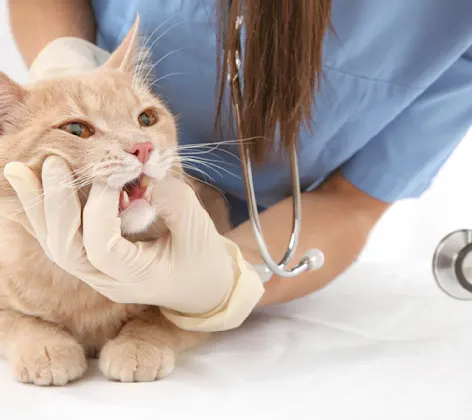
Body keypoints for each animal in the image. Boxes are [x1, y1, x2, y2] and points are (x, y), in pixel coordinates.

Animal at [0, 18, 230, 386]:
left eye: (146, 119)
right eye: (76, 129)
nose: (143, 147)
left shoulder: (202, 302)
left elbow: (158, 319)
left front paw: (136, 346)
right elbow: (17, 321)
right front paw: (46, 347)